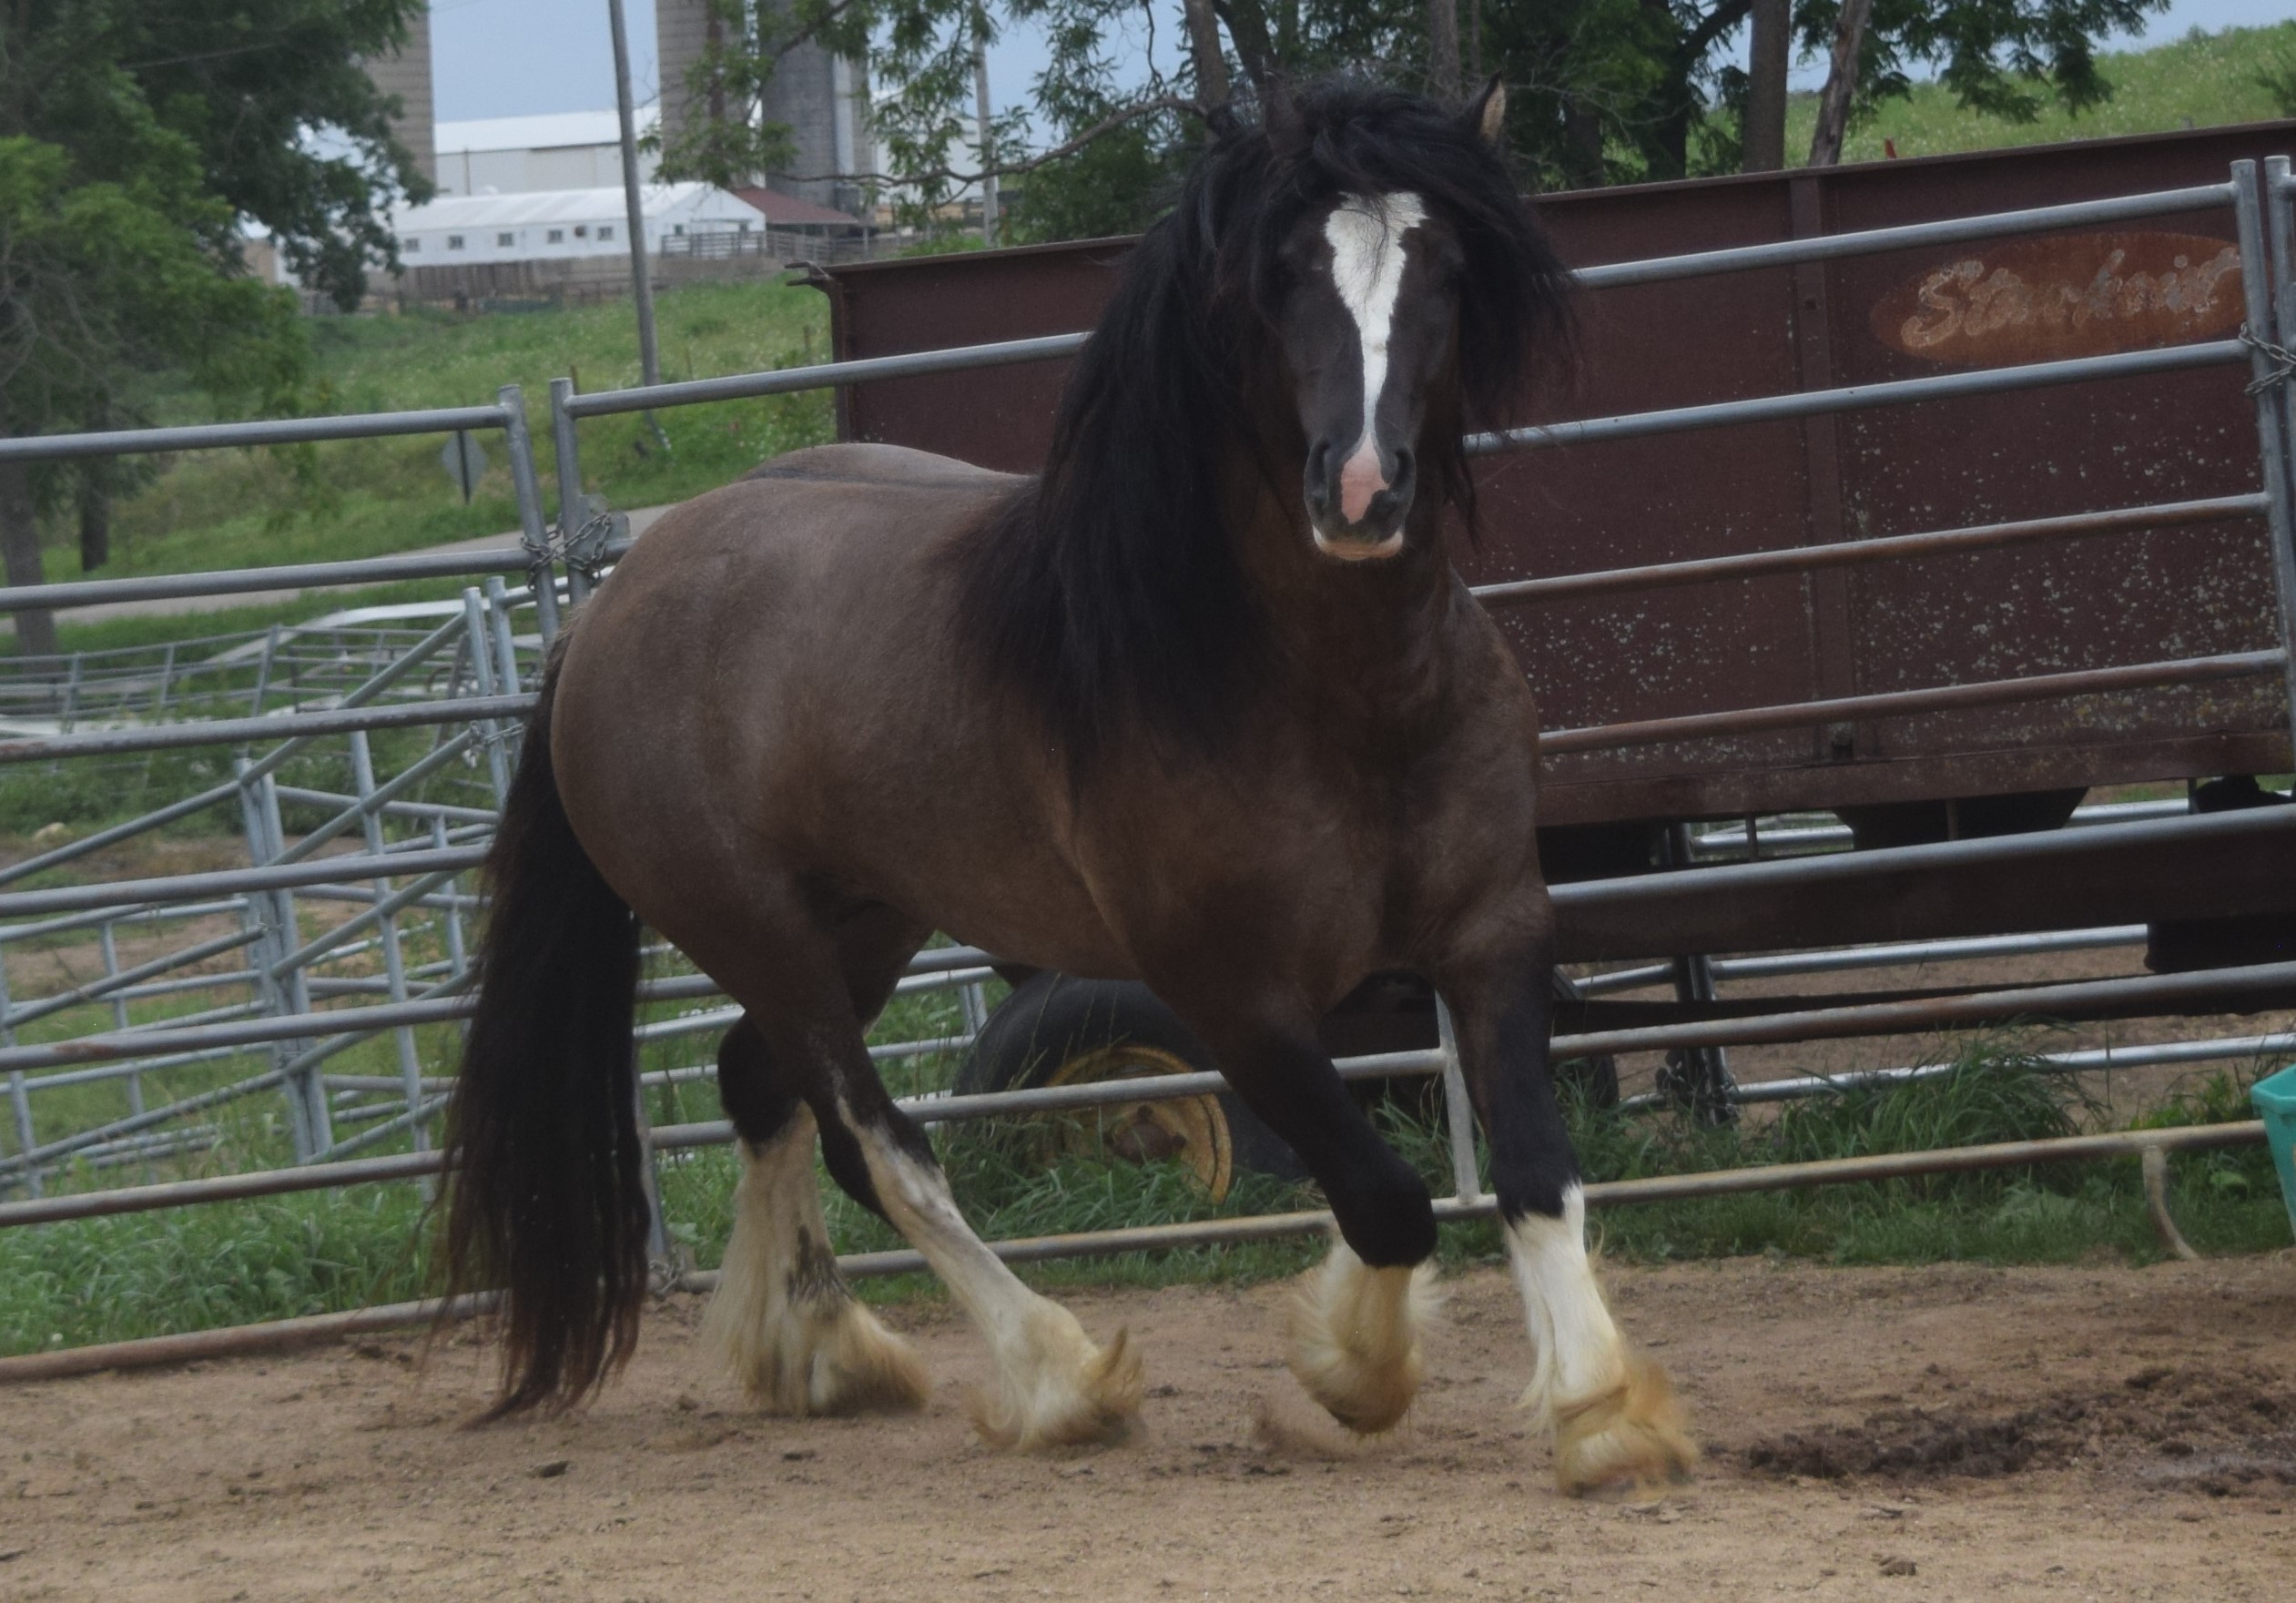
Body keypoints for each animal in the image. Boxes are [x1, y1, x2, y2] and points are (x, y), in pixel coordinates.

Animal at [441, 77, 1697, 1496]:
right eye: (1276, 274)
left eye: (1446, 269)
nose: (1361, 491)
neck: (1336, 697)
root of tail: (605, 611)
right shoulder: (1230, 993)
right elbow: (1383, 1198)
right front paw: (1350, 1372)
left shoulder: (1494, 930)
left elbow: (1535, 1170)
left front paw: (1601, 1410)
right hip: (756, 930)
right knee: (877, 1144)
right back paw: (1058, 1376)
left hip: (860, 922)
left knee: (754, 1084)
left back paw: (819, 1354)